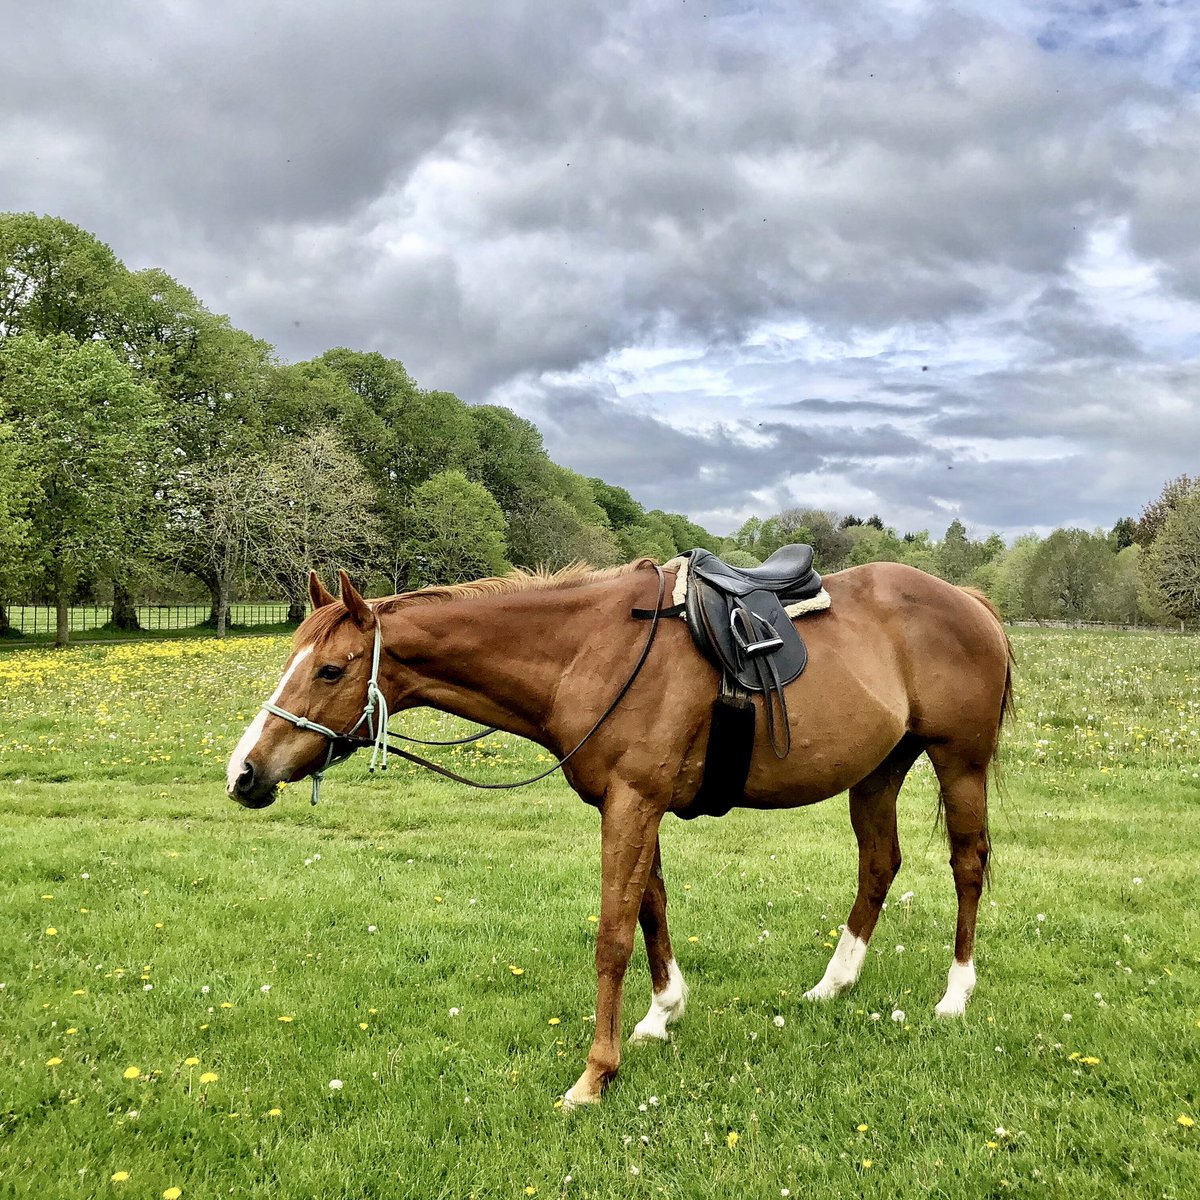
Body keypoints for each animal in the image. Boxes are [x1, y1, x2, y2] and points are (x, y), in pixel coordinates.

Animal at [227, 557, 1013, 1108]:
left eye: (332, 669)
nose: (244, 772)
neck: (589, 651)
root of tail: (969, 600)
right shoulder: (634, 805)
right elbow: (651, 909)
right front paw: (663, 1014)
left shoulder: (633, 804)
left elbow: (612, 936)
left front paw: (595, 1075)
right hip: (880, 771)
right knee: (879, 865)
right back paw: (834, 983)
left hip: (959, 763)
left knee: (967, 865)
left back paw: (955, 995)